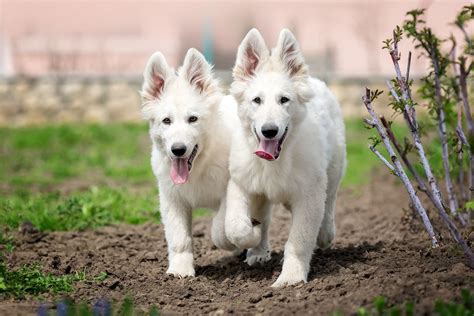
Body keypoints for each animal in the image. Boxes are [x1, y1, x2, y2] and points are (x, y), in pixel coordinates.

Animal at [140, 48, 237, 278]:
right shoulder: (172, 200)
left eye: (193, 119)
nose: (178, 150)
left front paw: (229, 242)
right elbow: (179, 238)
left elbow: (219, 226)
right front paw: (180, 270)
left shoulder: (229, 191)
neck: (200, 166)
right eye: (166, 121)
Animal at [224, 28, 346, 288]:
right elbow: (236, 226)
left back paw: (325, 233)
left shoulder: (309, 194)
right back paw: (258, 251)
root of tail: (317, 82)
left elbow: (299, 240)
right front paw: (251, 236)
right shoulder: (241, 183)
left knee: (330, 199)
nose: (269, 131)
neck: (274, 161)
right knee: (264, 218)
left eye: (284, 100)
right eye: (257, 100)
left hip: (334, 168)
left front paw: (291, 278)